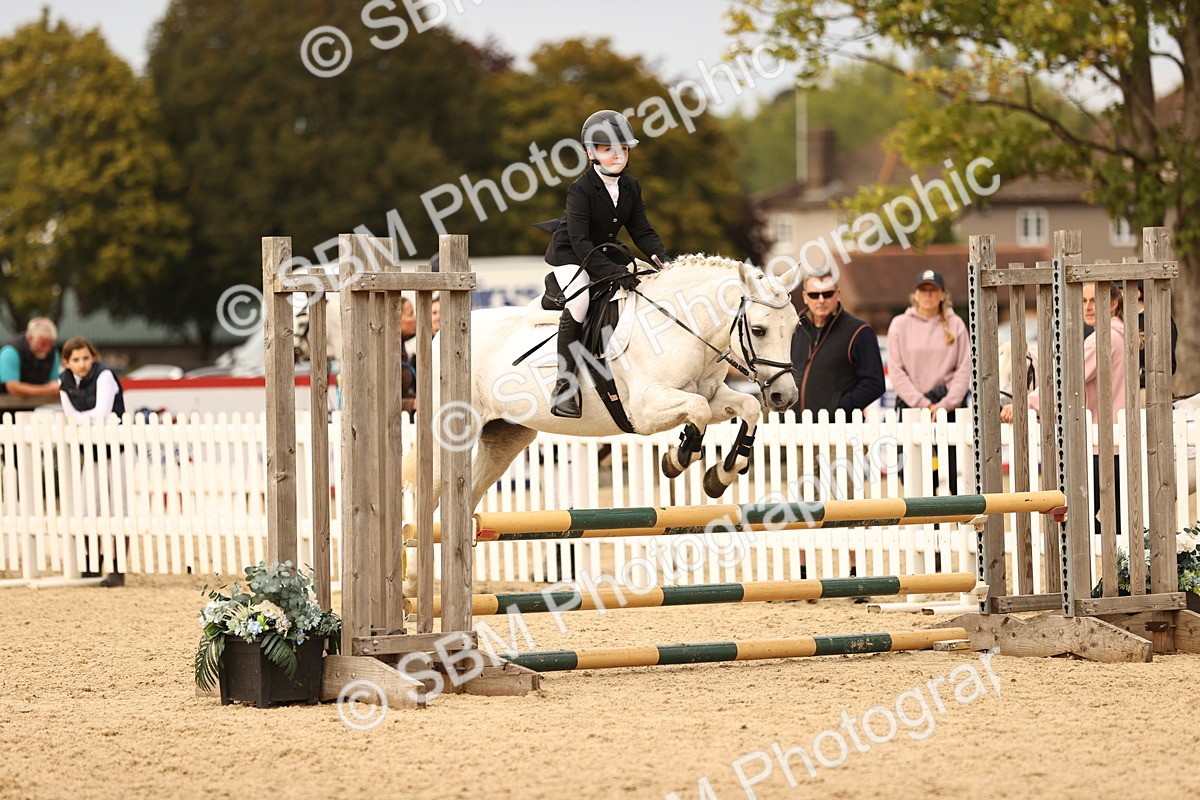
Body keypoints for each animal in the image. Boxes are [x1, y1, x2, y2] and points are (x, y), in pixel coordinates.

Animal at [400, 254, 801, 517]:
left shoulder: (713, 395)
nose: (785, 396)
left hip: (506, 436)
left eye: (795, 327)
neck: (682, 326)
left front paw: (722, 474)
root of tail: (440, 336)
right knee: (424, 502)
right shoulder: (646, 408)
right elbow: (697, 413)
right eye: (759, 330)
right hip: (450, 435)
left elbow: (747, 408)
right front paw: (677, 459)